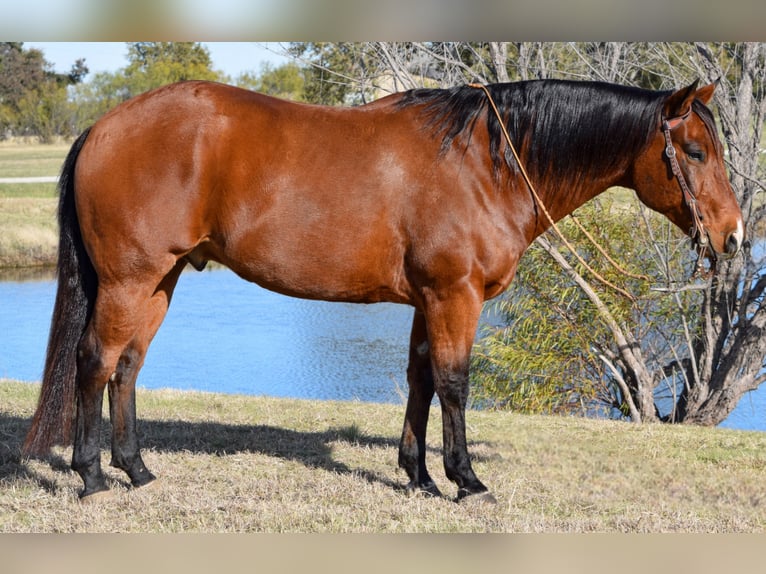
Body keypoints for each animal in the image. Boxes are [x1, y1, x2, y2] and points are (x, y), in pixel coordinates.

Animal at [22, 77, 744, 504]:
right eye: (696, 151)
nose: (733, 237)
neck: (484, 164)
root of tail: (105, 126)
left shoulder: (429, 301)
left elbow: (420, 379)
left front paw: (418, 475)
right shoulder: (455, 297)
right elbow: (454, 382)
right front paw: (465, 479)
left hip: (160, 281)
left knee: (127, 368)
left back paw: (136, 468)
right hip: (130, 280)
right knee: (95, 362)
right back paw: (91, 475)